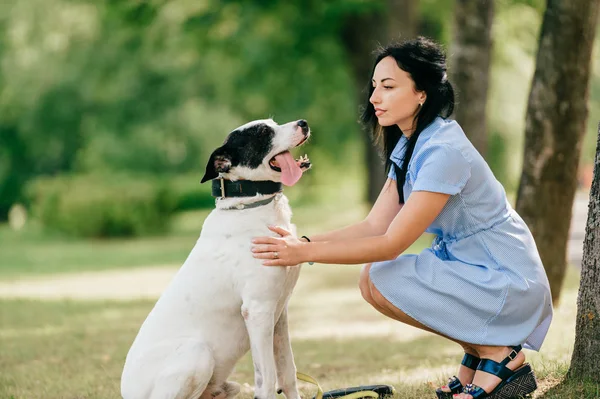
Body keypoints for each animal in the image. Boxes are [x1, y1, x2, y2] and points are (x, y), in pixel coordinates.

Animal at [120, 119, 312, 399]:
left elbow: (287, 373)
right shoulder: (258, 311)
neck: (251, 204)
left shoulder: (279, 313)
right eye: (263, 132)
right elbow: (266, 380)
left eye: (274, 123)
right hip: (197, 353)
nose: (303, 123)